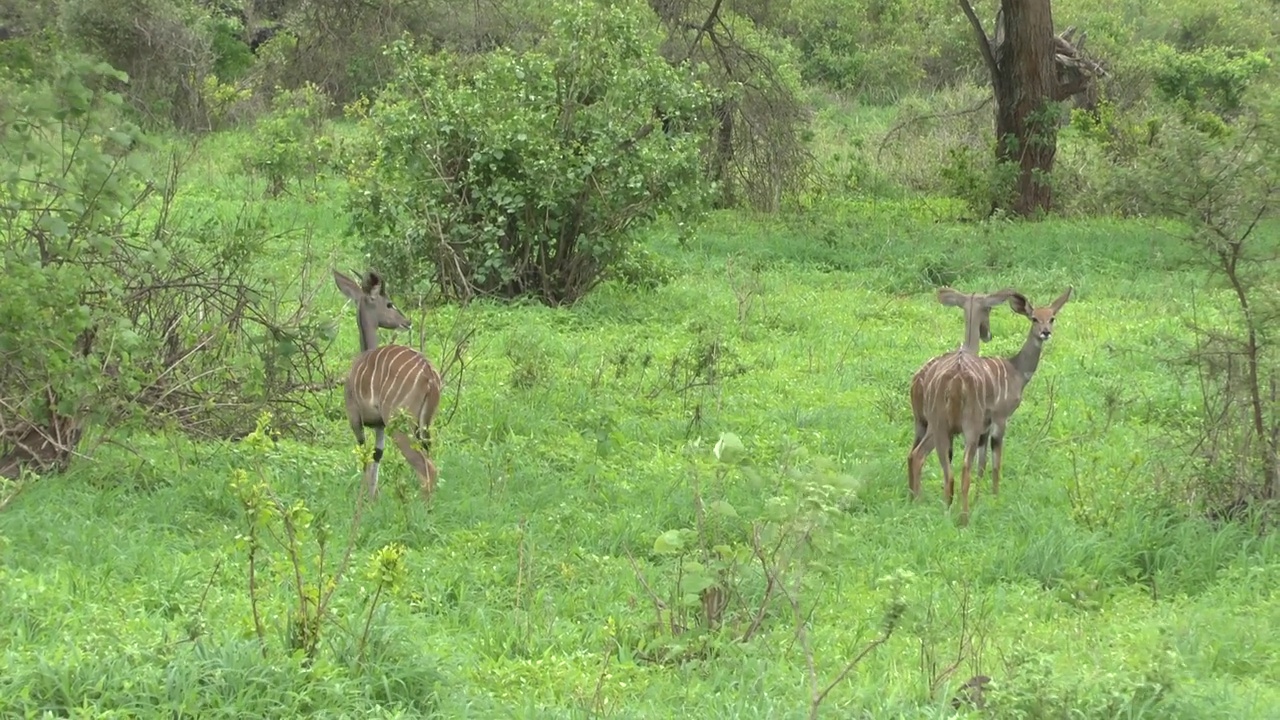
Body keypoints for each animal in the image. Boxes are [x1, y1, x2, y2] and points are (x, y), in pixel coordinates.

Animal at [332, 269, 442, 499]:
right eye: (390, 304)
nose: (407, 321)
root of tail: (429, 375)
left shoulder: (355, 418)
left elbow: (364, 455)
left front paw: (364, 499)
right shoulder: (379, 425)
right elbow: (377, 455)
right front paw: (373, 498)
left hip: (399, 423)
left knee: (427, 468)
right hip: (423, 424)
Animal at [906, 284, 1075, 520]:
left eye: (1052, 318)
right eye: (1034, 318)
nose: (1045, 332)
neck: (1016, 371)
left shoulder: (984, 428)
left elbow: (982, 463)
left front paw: (980, 500)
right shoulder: (999, 418)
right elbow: (995, 463)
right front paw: (995, 500)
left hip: (926, 424)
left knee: (921, 459)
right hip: (954, 426)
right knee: (946, 465)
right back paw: (959, 515)